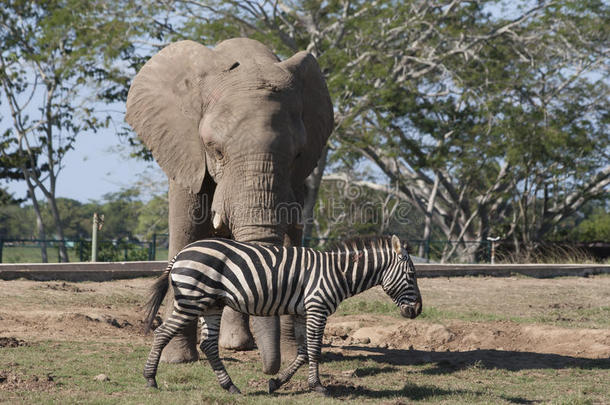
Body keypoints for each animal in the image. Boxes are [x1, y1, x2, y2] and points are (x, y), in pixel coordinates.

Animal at [124, 37, 332, 372]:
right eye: (215, 150)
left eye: (297, 154)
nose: (271, 373)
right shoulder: (187, 153)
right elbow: (187, 231)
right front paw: (177, 360)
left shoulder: (299, 176)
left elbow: (291, 238)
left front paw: (292, 357)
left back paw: (236, 344)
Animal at [142, 234, 420, 394]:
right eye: (412, 275)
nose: (417, 311)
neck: (338, 273)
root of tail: (181, 253)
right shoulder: (317, 307)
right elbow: (314, 350)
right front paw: (318, 387)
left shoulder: (302, 312)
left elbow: (303, 351)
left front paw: (276, 383)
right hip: (192, 300)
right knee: (162, 333)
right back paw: (150, 379)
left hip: (211, 304)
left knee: (208, 344)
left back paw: (230, 386)